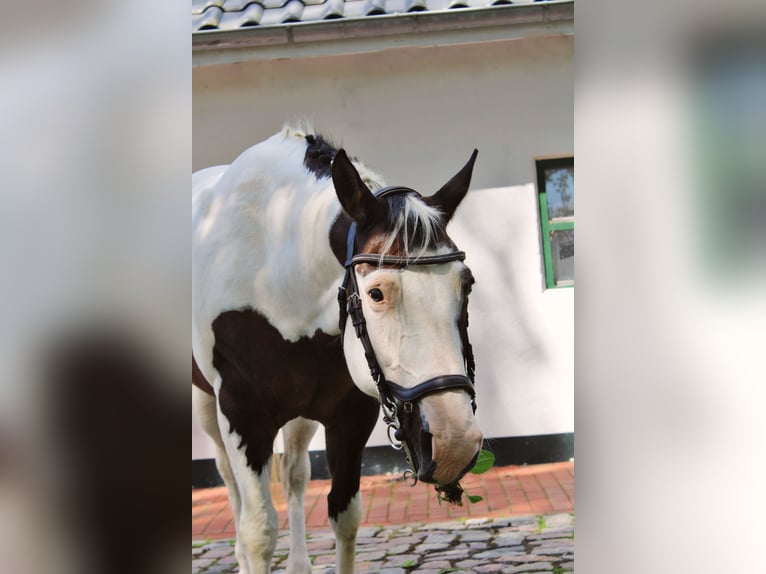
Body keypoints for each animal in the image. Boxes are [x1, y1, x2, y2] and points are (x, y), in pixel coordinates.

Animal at [195, 127, 488, 574]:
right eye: (376, 293)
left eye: (466, 283)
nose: (453, 442)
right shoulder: (241, 414)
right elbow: (258, 531)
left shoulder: (350, 415)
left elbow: (344, 516)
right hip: (208, 409)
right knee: (230, 484)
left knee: (294, 474)